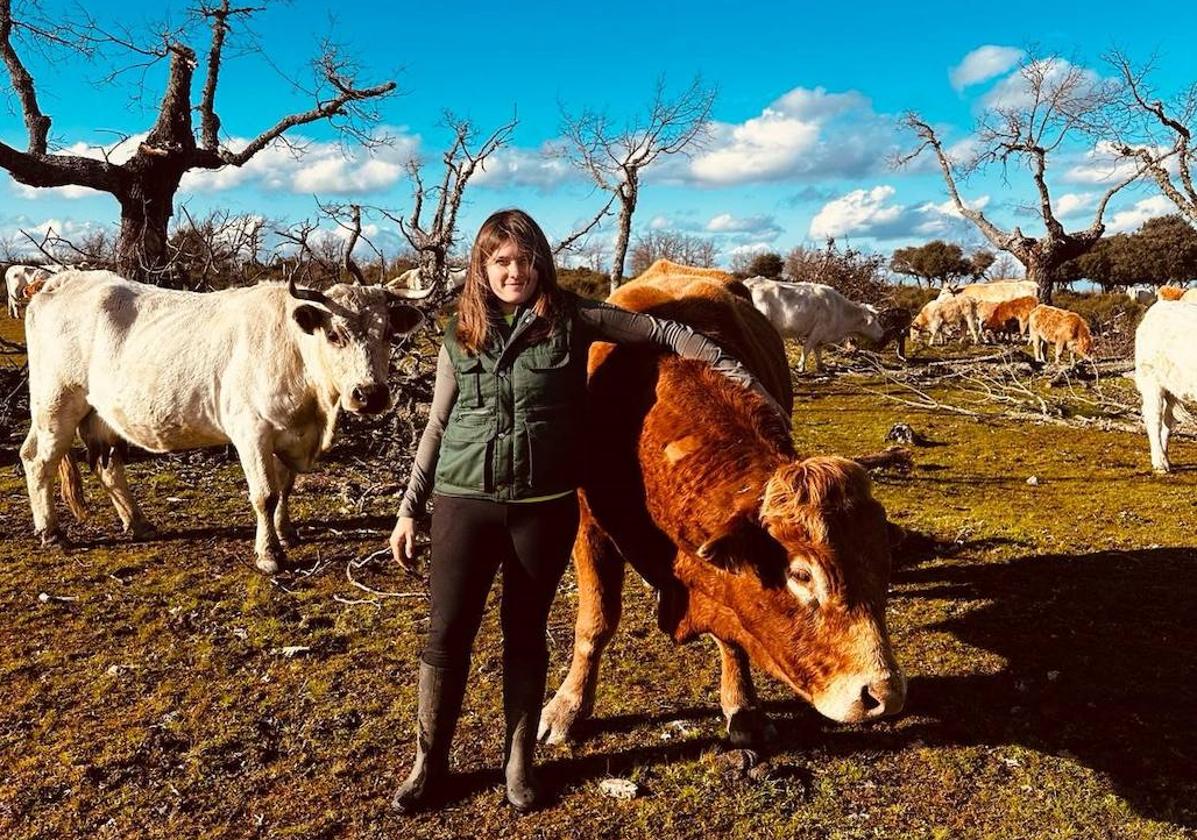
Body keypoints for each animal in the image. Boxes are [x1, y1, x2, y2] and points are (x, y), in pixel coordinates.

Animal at [22, 272, 426, 576]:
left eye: (388, 334)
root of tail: (60, 279)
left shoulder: (287, 434)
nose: (370, 394)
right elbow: (265, 494)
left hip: (98, 413)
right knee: (38, 460)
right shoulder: (251, 431)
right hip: (55, 403)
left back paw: (137, 523)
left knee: (106, 466)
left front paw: (287, 533)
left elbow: (285, 487)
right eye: (334, 334)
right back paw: (51, 532)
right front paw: (269, 555)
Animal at [737, 277, 890, 373]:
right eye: (875, 319)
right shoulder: (817, 331)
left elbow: (818, 351)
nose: (882, 333)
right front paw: (801, 367)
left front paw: (821, 366)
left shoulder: (821, 336)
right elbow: (806, 349)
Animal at [1129, 301, 1197, 473]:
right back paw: (1159, 462)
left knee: (1168, 420)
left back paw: (1166, 459)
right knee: (1154, 418)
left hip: (1171, 386)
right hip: (1151, 379)